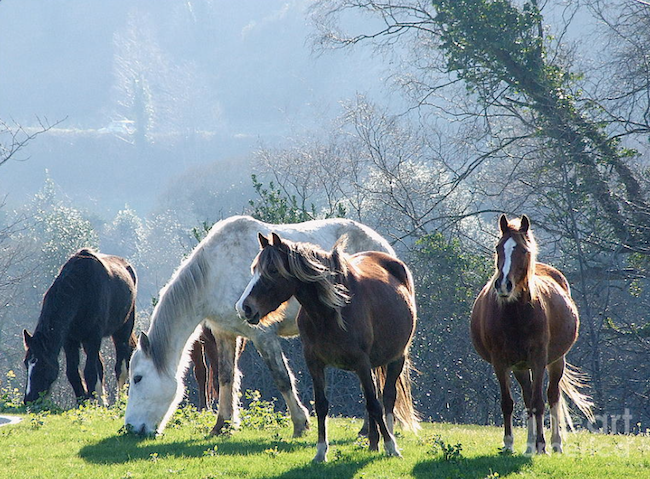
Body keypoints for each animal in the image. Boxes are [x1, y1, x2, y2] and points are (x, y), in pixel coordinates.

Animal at [22, 248, 137, 404]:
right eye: (26, 363)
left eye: (42, 364)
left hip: (123, 329)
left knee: (121, 366)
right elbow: (73, 373)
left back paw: (120, 400)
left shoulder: (93, 338)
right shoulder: (70, 341)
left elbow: (90, 373)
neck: (81, 288)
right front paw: (83, 402)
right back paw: (103, 401)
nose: (29, 399)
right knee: (100, 366)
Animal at [124, 215, 394, 436]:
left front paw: (300, 424)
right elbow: (225, 377)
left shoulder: (263, 335)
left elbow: (282, 378)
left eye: (137, 378)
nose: (130, 428)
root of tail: (384, 248)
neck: (215, 272)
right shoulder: (224, 334)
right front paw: (222, 425)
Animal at [237, 232, 419, 462]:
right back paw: (372, 443)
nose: (244, 308)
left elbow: (374, 404)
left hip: (396, 358)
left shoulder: (361, 362)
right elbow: (322, 405)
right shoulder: (315, 362)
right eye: (254, 269)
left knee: (386, 398)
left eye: (273, 270)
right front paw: (321, 451)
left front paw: (391, 446)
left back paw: (389, 439)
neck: (329, 312)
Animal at [470, 214, 594, 455]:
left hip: (556, 361)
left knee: (552, 397)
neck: (514, 314)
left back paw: (554, 443)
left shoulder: (538, 359)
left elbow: (539, 402)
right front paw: (509, 444)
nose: (503, 285)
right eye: (498, 248)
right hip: (520, 367)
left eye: (523, 250)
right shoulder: (500, 362)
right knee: (528, 400)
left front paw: (542, 445)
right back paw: (529, 445)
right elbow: (508, 403)